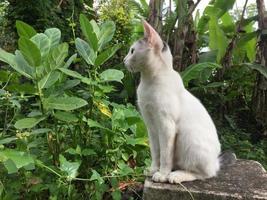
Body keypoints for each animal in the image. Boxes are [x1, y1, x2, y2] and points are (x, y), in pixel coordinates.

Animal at [124, 21, 222, 184]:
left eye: (132, 51)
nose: (124, 60)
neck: (148, 82)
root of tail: (215, 161)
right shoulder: (151, 126)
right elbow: (155, 151)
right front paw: (153, 170)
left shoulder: (166, 126)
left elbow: (165, 154)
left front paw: (162, 174)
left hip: (188, 138)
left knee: (205, 174)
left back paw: (175, 175)